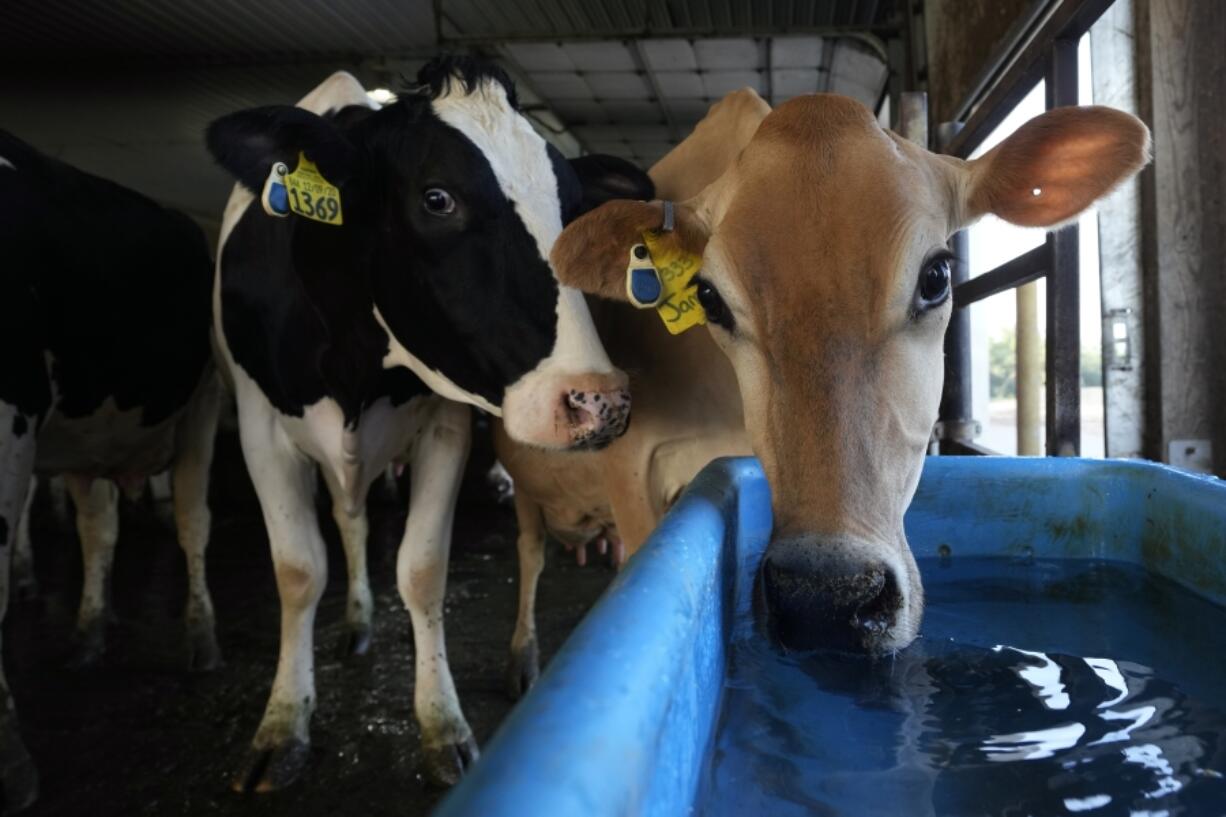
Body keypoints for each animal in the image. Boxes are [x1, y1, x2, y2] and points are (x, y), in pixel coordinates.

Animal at [0, 128, 223, 809]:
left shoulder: (12, 413)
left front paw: (11, 764)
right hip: (86, 435)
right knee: (98, 530)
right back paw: (88, 634)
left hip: (200, 404)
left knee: (191, 520)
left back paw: (200, 639)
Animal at [207, 58, 657, 790]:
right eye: (438, 198)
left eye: (571, 208)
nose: (600, 401)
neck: (358, 363)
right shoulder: (259, 428)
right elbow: (299, 572)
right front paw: (282, 724)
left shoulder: (444, 426)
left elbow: (421, 570)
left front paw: (442, 723)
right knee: (347, 518)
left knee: (355, 516)